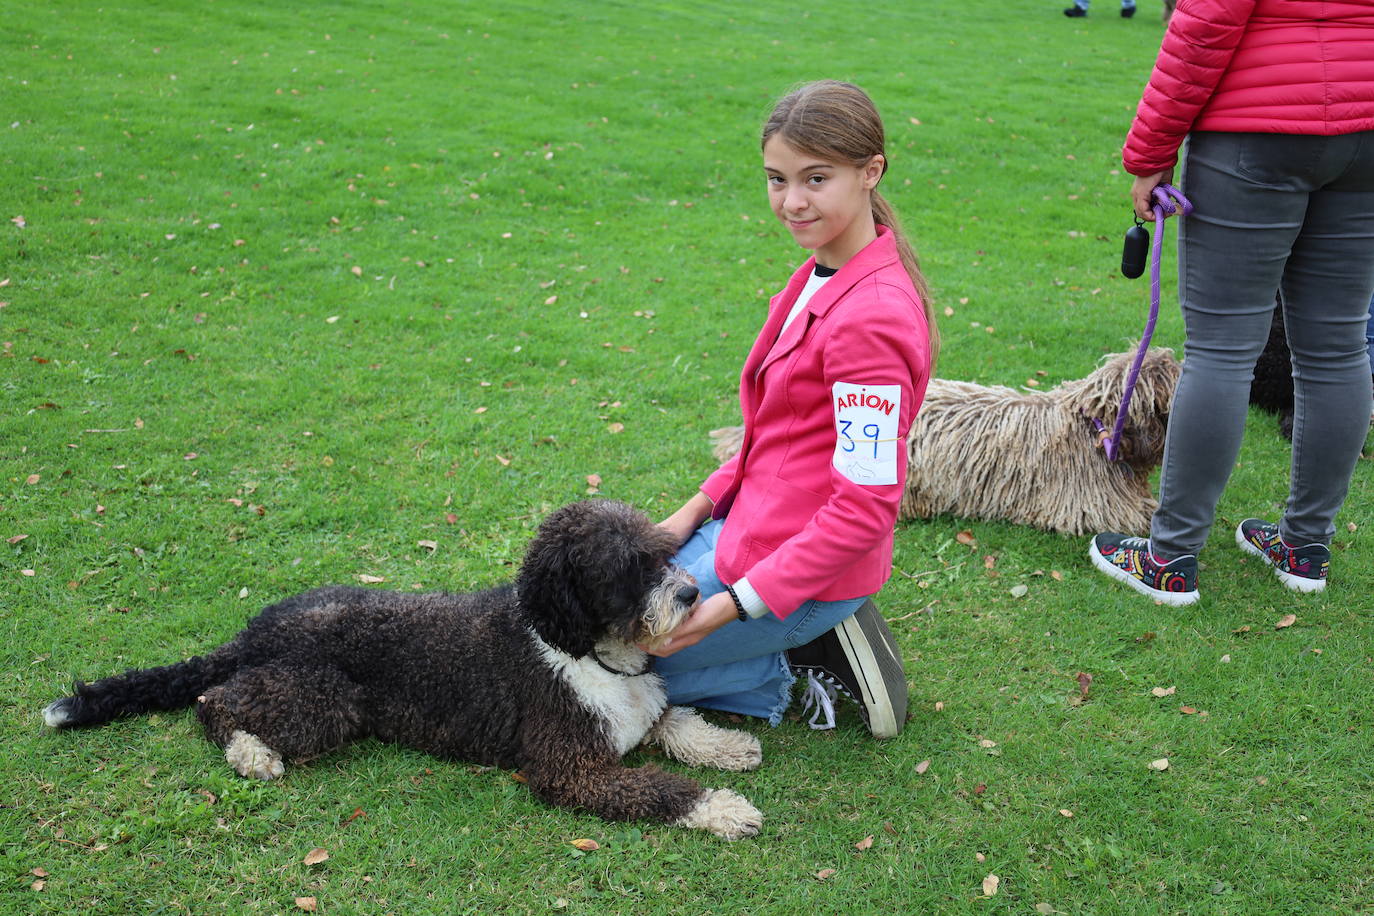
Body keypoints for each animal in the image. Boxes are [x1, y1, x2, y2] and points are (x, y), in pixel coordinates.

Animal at [42, 502, 769, 840]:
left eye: (660, 552)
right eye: (623, 570)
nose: (689, 595)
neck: (584, 649)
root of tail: (255, 630)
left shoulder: (642, 709)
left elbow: (678, 723)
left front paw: (728, 747)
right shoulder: (571, 769)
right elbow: (660, 788)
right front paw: (722, 808)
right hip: (323, 698)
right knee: (212, 701)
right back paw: (252, 754)